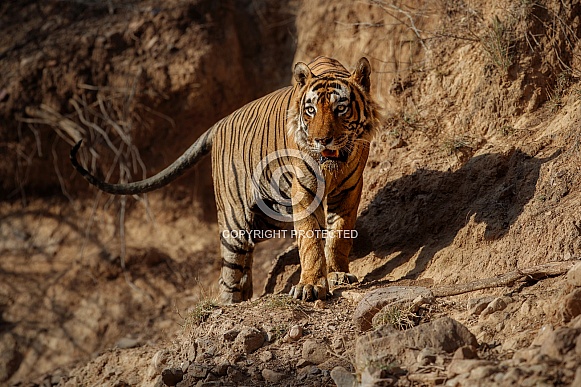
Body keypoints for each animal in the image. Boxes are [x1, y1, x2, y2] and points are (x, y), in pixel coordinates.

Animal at [71, 56, 380, 304]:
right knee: (229, 273)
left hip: (268, 218)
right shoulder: (304, 188)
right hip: (235, 222)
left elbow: (339, 234)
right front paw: (312, 286)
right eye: (311, 110)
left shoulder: (351, 187)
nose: (321, 140)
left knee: (243, 266)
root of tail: (219, 123)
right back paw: (229, 304)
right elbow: (310, 240)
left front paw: (339, 274)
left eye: (340, 109)